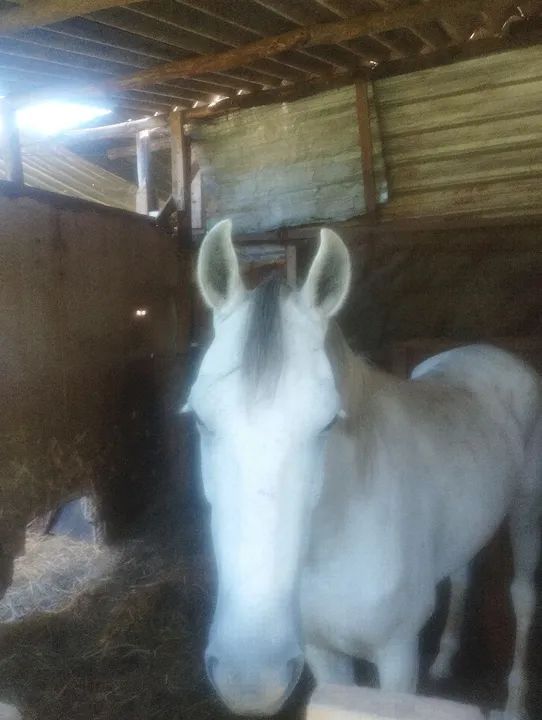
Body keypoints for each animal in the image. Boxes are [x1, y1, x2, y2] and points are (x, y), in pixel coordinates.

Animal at [185, 219, 542, 719]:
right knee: (462, 577)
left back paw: (513, 702)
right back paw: (446, 658)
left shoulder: (397, 658)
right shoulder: (322, 656)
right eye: (199, 418)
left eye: (327, 423)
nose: (251, 676)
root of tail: (489, 352)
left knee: (523, 596)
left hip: (528, 507)